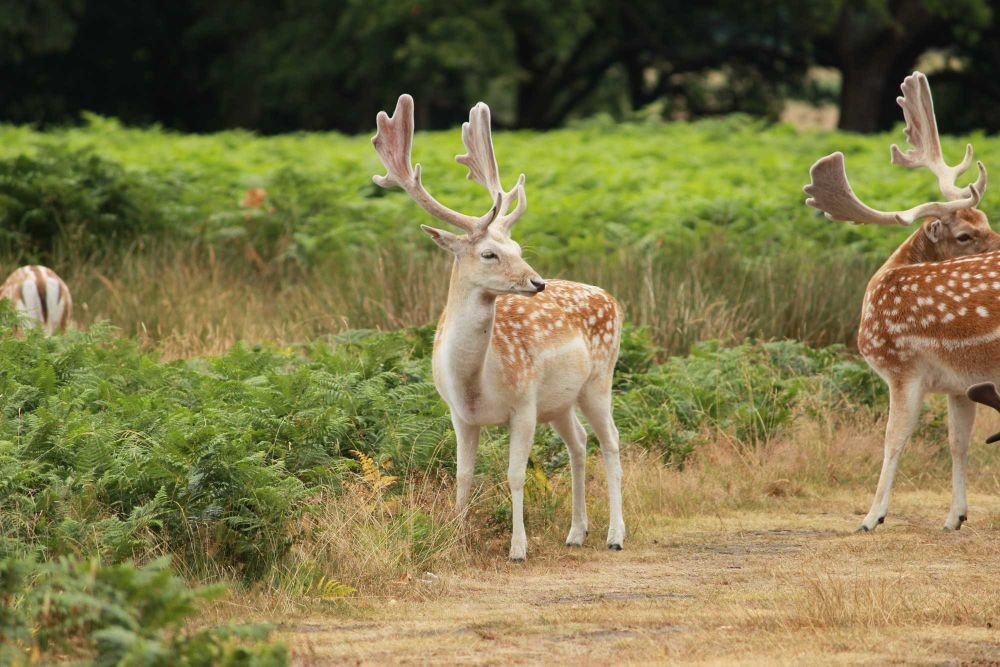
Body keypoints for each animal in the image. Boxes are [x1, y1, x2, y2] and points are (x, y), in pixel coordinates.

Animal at [374, 94, 624, 560]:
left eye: (519, 248)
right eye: (489, 253)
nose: (537, 282)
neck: (476, 381)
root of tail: (612, 298)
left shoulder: (523, 405)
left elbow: (515, 475)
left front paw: (518, 547)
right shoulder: (459, 414)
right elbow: (463, 476)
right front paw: (455, 539)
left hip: (600, 378)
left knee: (611, 440)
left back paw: (615, 535)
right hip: (560, 402)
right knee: (580, 443)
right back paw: (576, 532)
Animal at [800, 72, 1000, 532]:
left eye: (984, 220)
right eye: (967, 232)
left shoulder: (902, 365)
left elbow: (893, 441)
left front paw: (871, 516)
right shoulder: (960, 383)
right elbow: (958, 443)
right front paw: (955, 517)